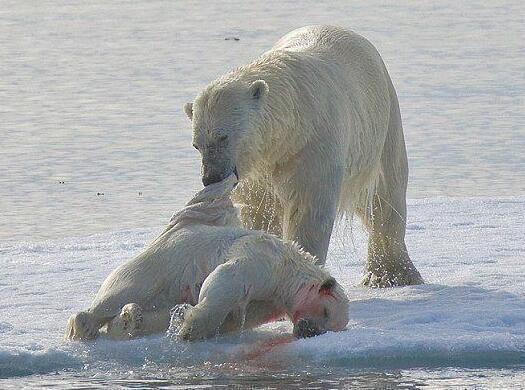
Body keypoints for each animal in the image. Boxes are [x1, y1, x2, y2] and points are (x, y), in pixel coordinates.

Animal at [65, 175, 348, 340]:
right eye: (325, 311)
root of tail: (174, 229)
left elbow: (236, 318)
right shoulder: (263, 258)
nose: (307, 331)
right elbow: (228, 278)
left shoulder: (270, 302)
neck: (290, 270)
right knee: (122, 292)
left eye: (330, 326)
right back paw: (86, 327)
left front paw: (182, 320)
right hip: (158, 264)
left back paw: (130, 320)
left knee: (151, 307)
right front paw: (190, 329)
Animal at [184, 24, 422, 286]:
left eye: (223, 136)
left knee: (385, 196)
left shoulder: (313, 142)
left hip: (382, 124)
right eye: (197, 145)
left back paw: (391, 274)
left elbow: (309, 207)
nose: (211, 177)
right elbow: (259, 209)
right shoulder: (260, 167)